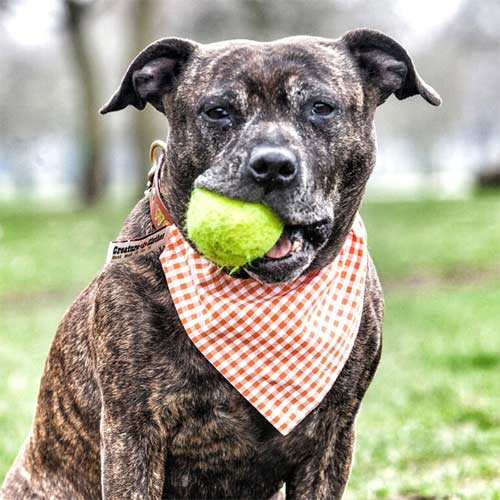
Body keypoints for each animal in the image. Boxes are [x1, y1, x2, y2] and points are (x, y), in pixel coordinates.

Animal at [0, 28, 438, 500]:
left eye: (321, 107)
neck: (263, 298)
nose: (272, 164)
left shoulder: (332, 437)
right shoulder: (131, 433)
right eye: (218, 111)